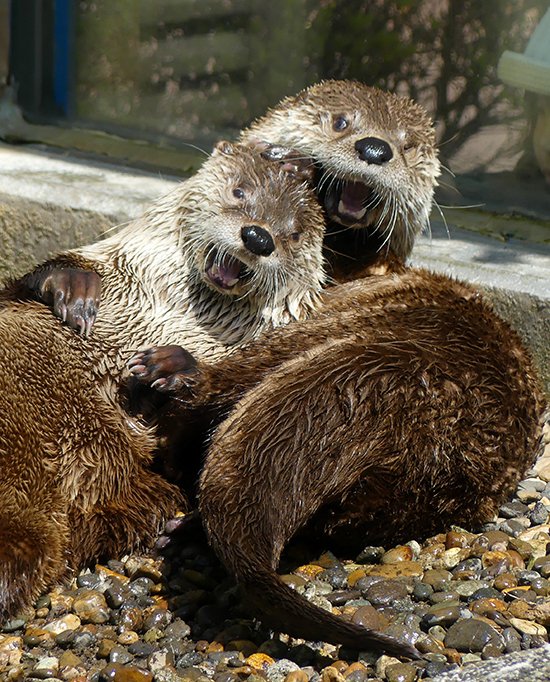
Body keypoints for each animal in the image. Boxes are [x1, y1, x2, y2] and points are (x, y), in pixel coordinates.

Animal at [0, 141, 327, 620]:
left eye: (295, 233)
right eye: (239, 191)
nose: (258, 237)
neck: (167, 315)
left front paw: (170, 369)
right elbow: (29, 283)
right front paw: (74, 288)